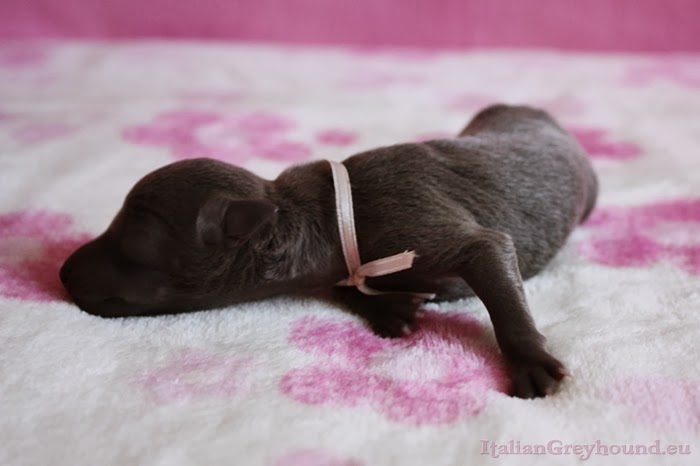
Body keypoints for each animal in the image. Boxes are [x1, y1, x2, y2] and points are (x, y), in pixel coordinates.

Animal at [60, 104, 598, 398]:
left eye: (135, 242)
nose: (61, 272)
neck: (316, 214)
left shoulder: (410, 220)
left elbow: (489, 252)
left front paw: (529, 359)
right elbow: (347, 286)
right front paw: (389, 307)